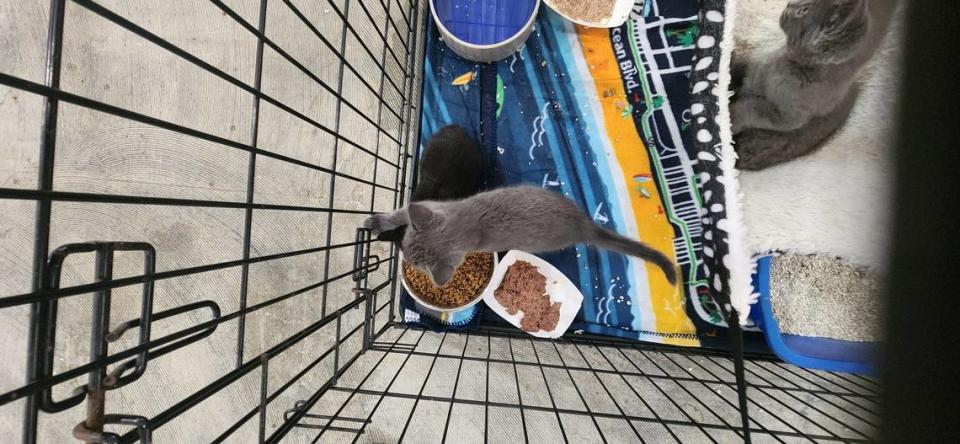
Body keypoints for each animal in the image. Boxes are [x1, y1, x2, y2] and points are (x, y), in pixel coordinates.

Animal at [364, 185, 680, 286]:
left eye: (415, 264)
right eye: (405, 245)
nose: (404, 256)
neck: (462, 225)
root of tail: (583, 223)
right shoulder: (433, 207)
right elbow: (401, 213)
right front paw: (377, 221)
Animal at [732, 0, 896, 170]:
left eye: (804, 10)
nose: (789, 5)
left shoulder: (786, 116)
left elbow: (752, 109)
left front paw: (732, 116)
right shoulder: (753, 77)